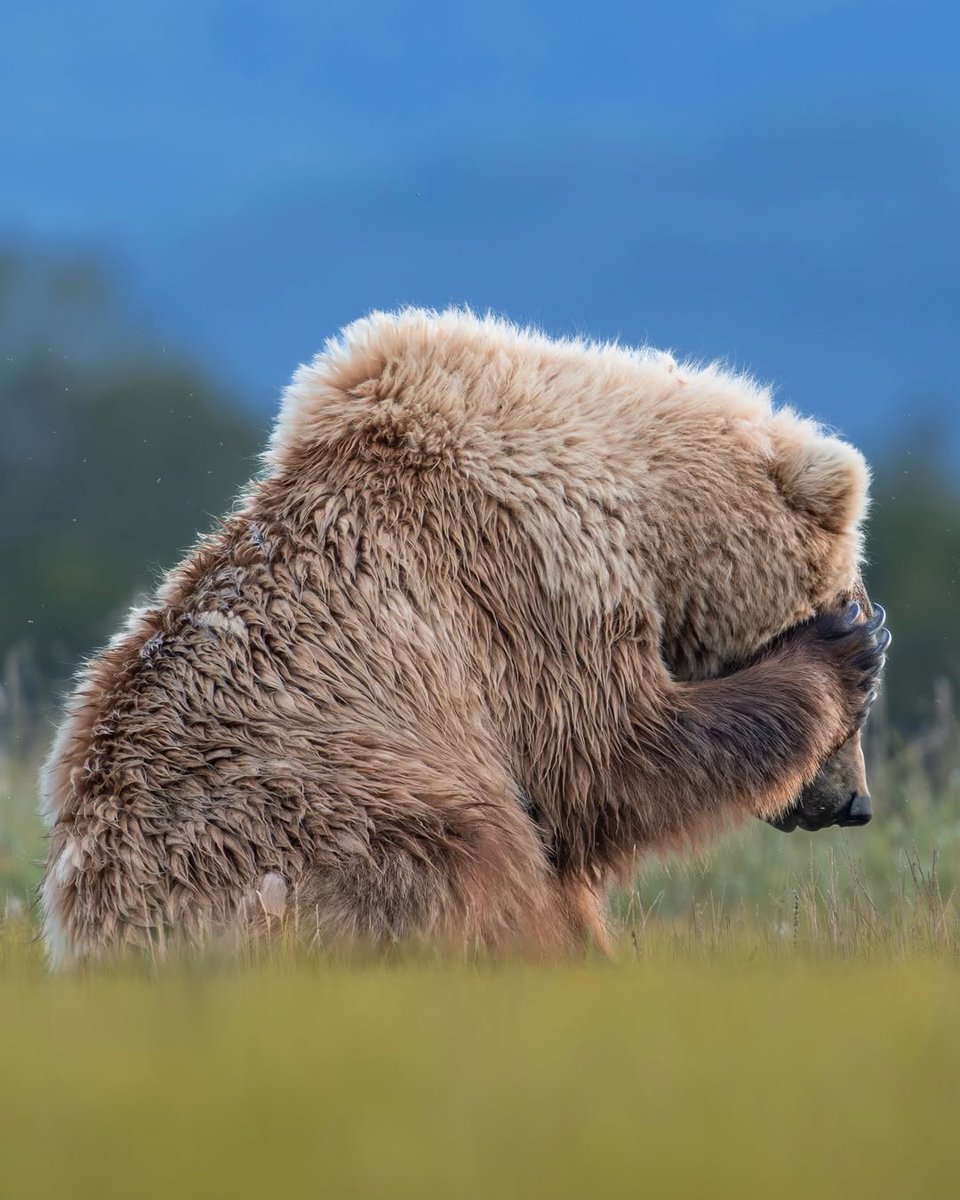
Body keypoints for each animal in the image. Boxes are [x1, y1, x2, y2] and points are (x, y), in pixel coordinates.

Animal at [39, 307, 889, 964]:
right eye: (846, 587)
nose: (850, 803)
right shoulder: (529, 586)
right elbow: (609, 755)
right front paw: (842, 650)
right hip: (319, 829)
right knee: (474, 869)